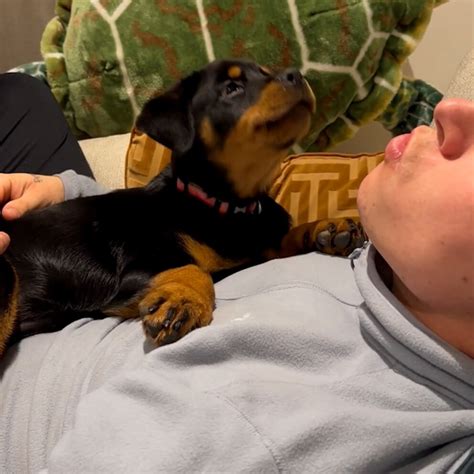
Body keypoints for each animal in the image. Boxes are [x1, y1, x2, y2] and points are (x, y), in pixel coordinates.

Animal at [0, 59, 362, 358]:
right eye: (232, 88)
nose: (296, 75)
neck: (229, 204)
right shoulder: (136, 267)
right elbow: (193, 267)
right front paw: (182, 299)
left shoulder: (258, 242)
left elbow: (281, 239)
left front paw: (327, 229)